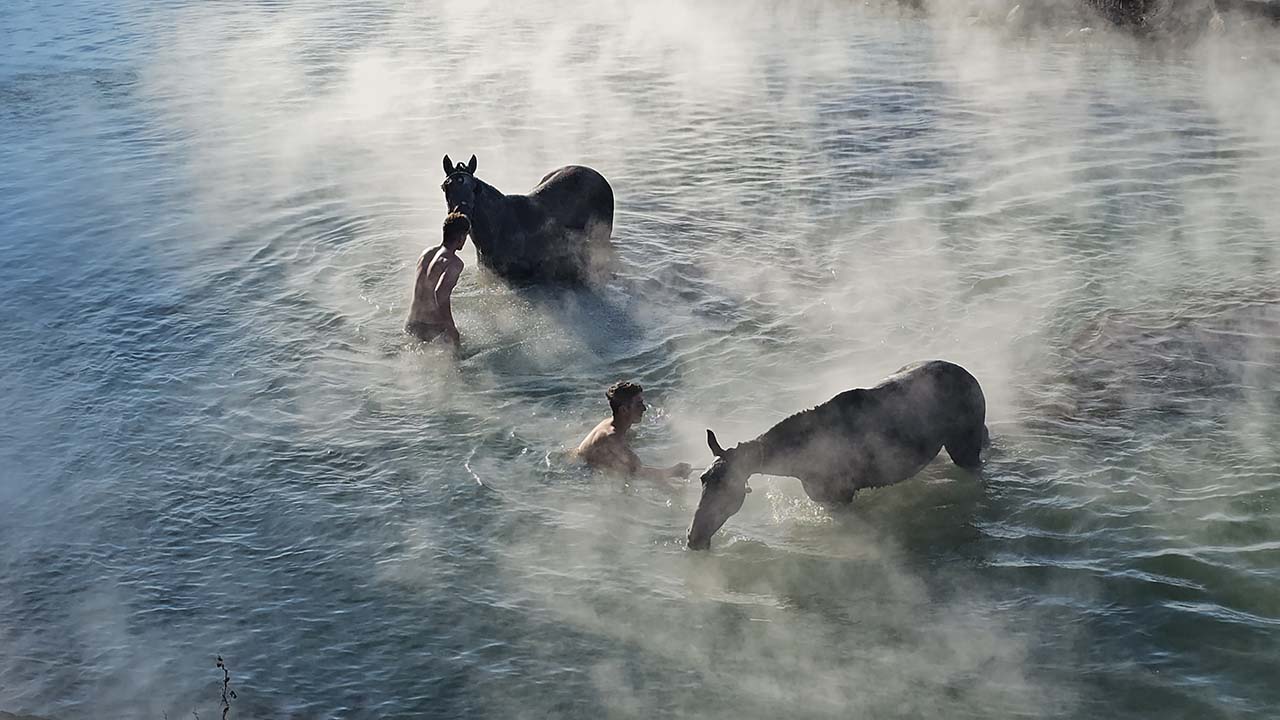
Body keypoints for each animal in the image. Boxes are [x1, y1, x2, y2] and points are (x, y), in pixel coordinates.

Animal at [691, 358, 988, 548]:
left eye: (729, 488)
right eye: (703, 479)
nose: (694, 538)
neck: (795, 461)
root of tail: (971, 377)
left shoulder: (841, 496)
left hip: (965, 449)